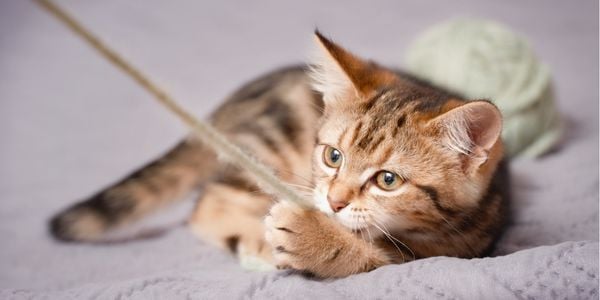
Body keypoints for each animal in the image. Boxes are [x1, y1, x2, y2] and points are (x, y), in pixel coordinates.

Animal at [51, 31, 508, 278]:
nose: (333, 201)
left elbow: (379, 260)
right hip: (270, 143)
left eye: (388, 180)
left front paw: (314, 239)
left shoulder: (459, 251)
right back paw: (255, 238)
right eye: (333, 157)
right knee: (208, 204)